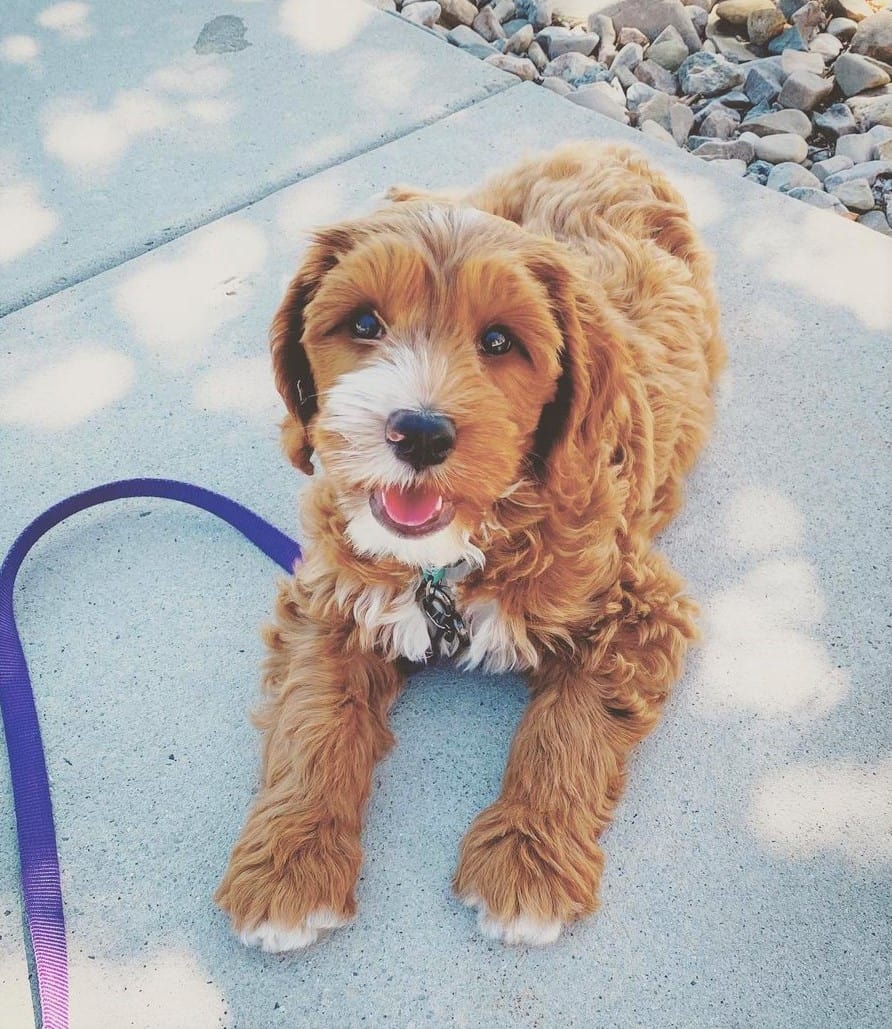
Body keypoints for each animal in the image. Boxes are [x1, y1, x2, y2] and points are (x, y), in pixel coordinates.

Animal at [216, 143, 724, 946]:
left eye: (498, 341)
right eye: (364, 322)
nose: (420, 432)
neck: (452, 560)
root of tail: (606, 147)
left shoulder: (639, 604)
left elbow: (569, 727)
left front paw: (526, 857)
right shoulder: (329, 597)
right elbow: (313, 716)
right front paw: (289, 863)